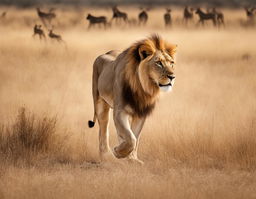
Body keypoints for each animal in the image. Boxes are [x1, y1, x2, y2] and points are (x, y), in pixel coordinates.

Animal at [88, 34, 176, 165]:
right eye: (159, 63)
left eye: (172, 63)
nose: (172, 77)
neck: (142, 88)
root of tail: (105, 53)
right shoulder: (119, 111)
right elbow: (131, 139)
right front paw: (118, 153)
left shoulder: (141, 113)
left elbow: (135, 137)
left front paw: (132, 159)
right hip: (100, 103)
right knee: (103, 130)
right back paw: (106, 156)